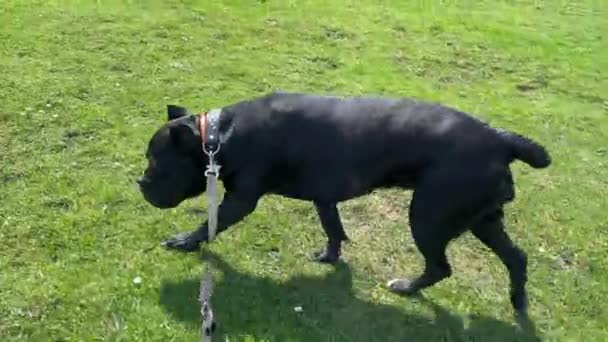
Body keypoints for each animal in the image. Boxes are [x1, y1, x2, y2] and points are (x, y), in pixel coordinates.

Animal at [138, 91, 552, 316]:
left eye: (156, 162)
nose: (140, 183)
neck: (217, 137)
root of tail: (500, 139)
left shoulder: (240, 200)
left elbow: (210, 224)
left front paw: (185, 242)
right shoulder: (325, 197)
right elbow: (333, 227)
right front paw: (330, 257)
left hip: (428, 216)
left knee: (440, 266)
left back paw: (407, 287)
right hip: (483, 218)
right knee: (516, 257)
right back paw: (518, 301)